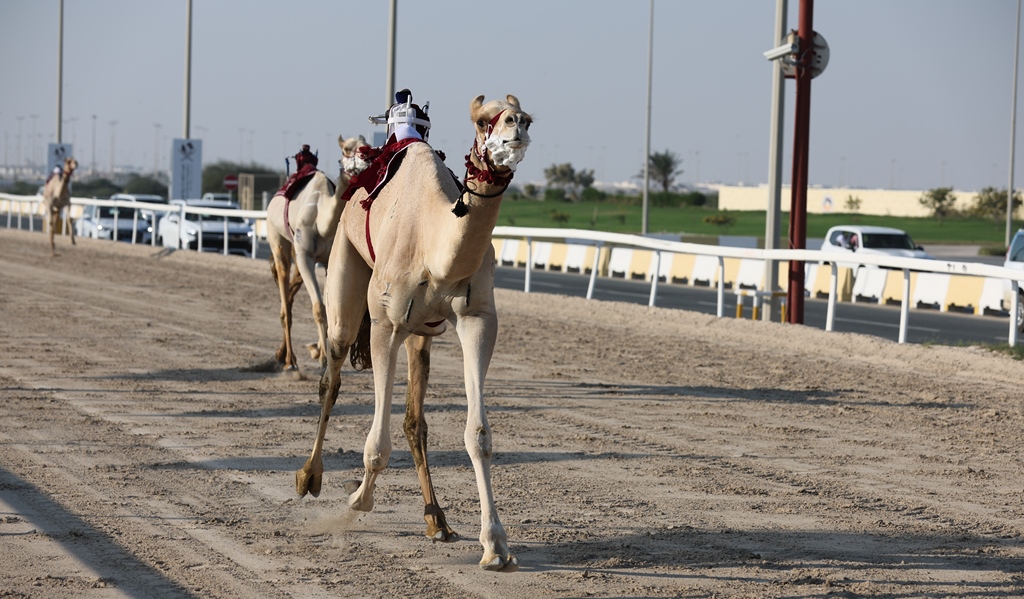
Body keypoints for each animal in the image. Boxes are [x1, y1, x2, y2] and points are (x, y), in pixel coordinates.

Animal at [296, 93, 532, 569]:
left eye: (528, 118)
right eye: (484, 120)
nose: (517, 125)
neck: (434, 245)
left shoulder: (478, 319)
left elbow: (478, 435)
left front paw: (495, 545)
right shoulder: (385, 324)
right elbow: (376, 443)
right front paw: (357, 501)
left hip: (422, 331)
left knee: (413, 420)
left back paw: (437, 520)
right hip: (344, 279)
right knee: (331, 375)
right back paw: (310, 476)